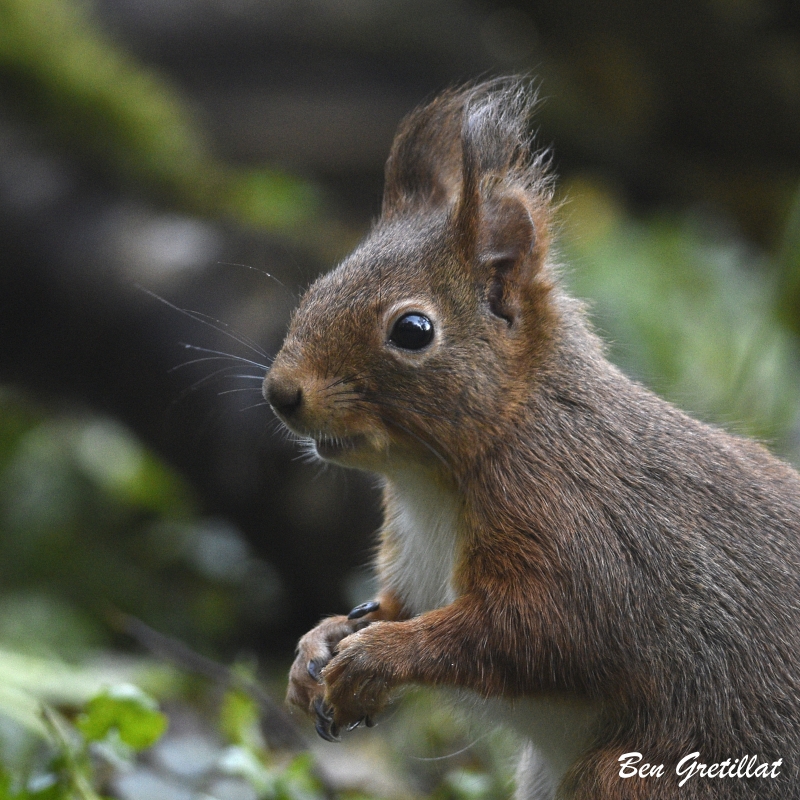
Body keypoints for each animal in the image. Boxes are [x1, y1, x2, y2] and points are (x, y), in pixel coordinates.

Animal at [266, 83, 800, 800]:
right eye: (318, 287)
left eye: (412, 330)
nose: (281, 392)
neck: (432, 481)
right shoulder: (414, 568)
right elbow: (394, 606)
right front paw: (316, 647)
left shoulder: (585, 541)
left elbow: (534, 633)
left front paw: (377, 657)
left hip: (636, 776)